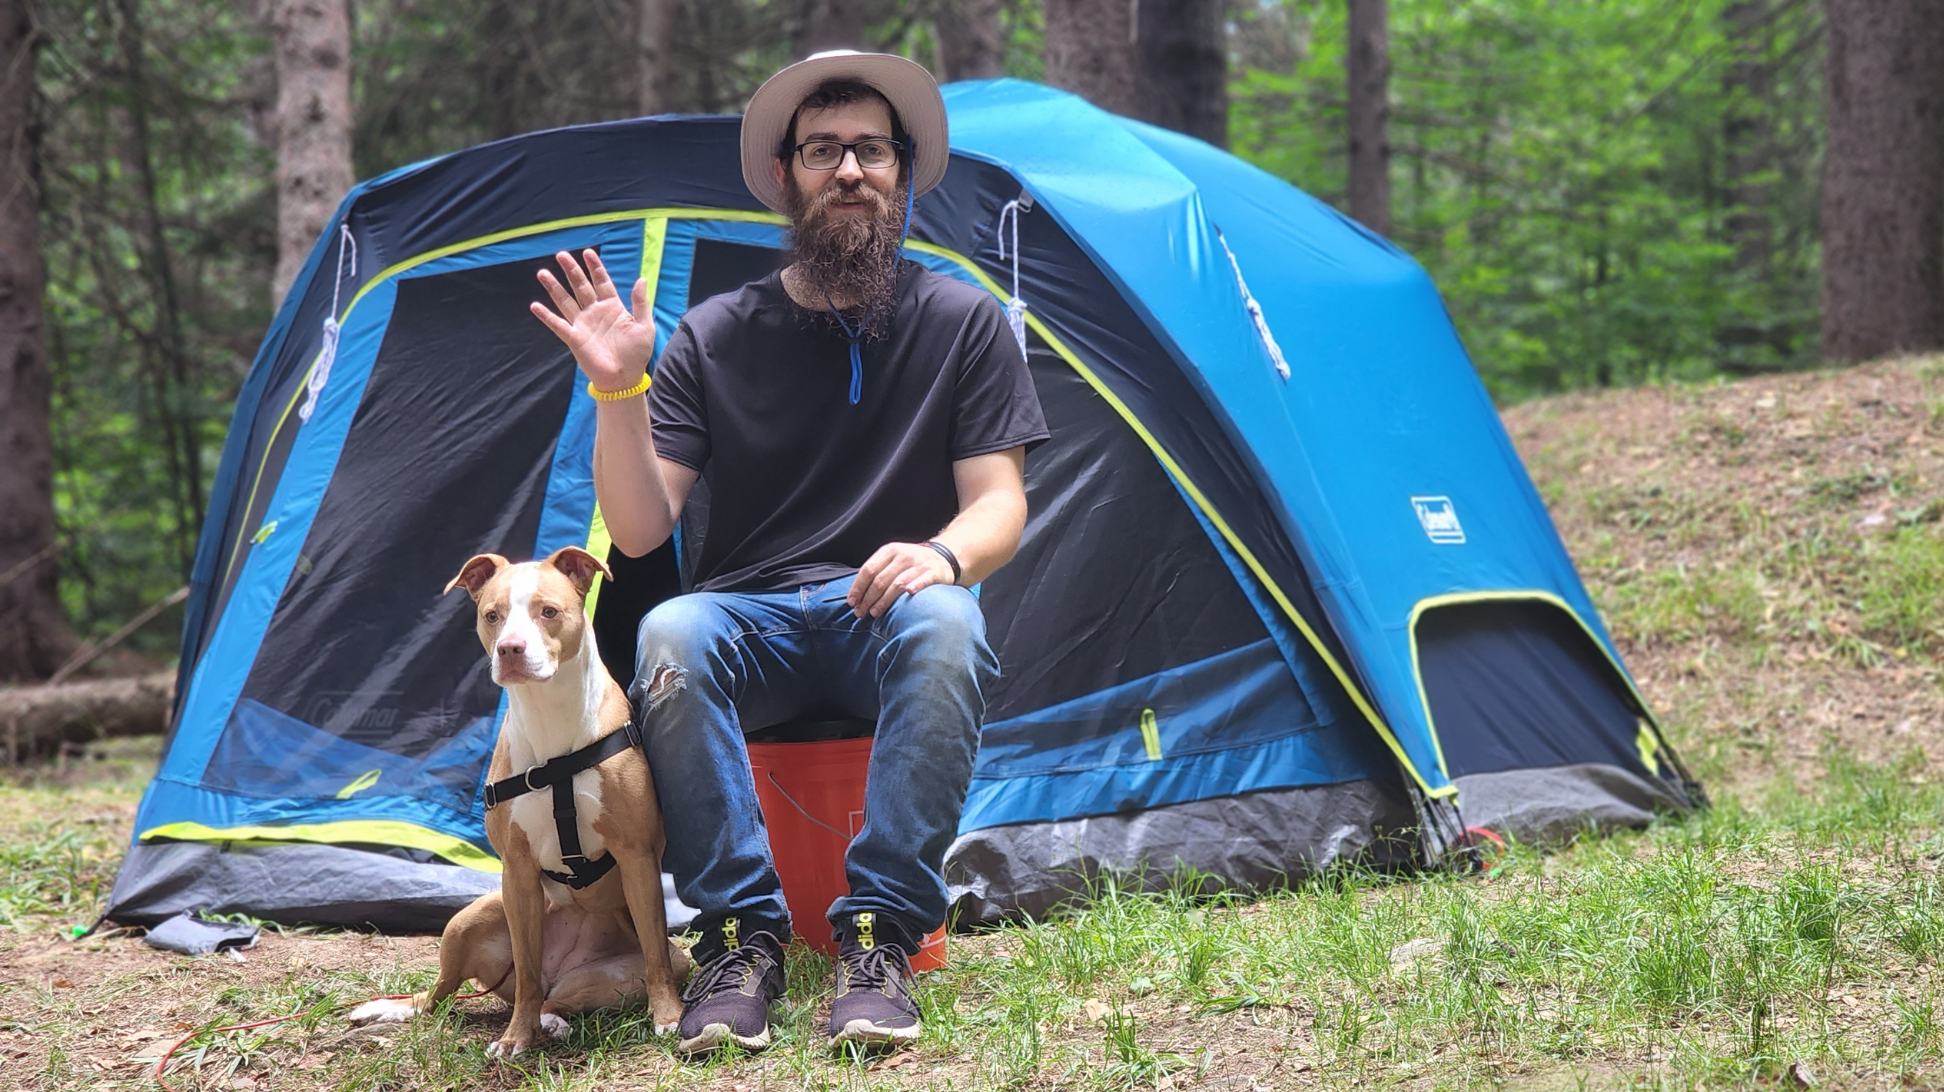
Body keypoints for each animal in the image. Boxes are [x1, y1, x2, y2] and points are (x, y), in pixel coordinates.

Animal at [353, 547, 695, 1049]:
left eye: (548, 611)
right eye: (491, 616)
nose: (510, 648)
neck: (549, 720)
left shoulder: (636, 856)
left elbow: (653, 950)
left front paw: (668, 1016)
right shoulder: (515, 869)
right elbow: (528, 970)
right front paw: (516, 1037)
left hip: (639, 966)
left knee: (562, 995)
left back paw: (551, 1021)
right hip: (471, 918)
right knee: (448, 994)